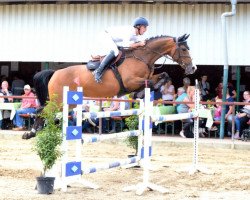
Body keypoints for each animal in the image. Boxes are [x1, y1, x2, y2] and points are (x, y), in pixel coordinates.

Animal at [22, 33, 196, 139]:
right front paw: (140, 94)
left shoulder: (145, 78)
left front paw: (143, 94)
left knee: (44, 111)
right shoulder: (131, 81)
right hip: (58, 100)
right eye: (183, 48)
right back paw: (31, 133)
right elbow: (150, 83)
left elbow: (163, 76)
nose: (193, 68)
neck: (141, 57)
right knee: (42, 110)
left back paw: (35, 132)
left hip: (66, 102)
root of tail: (55, 73)